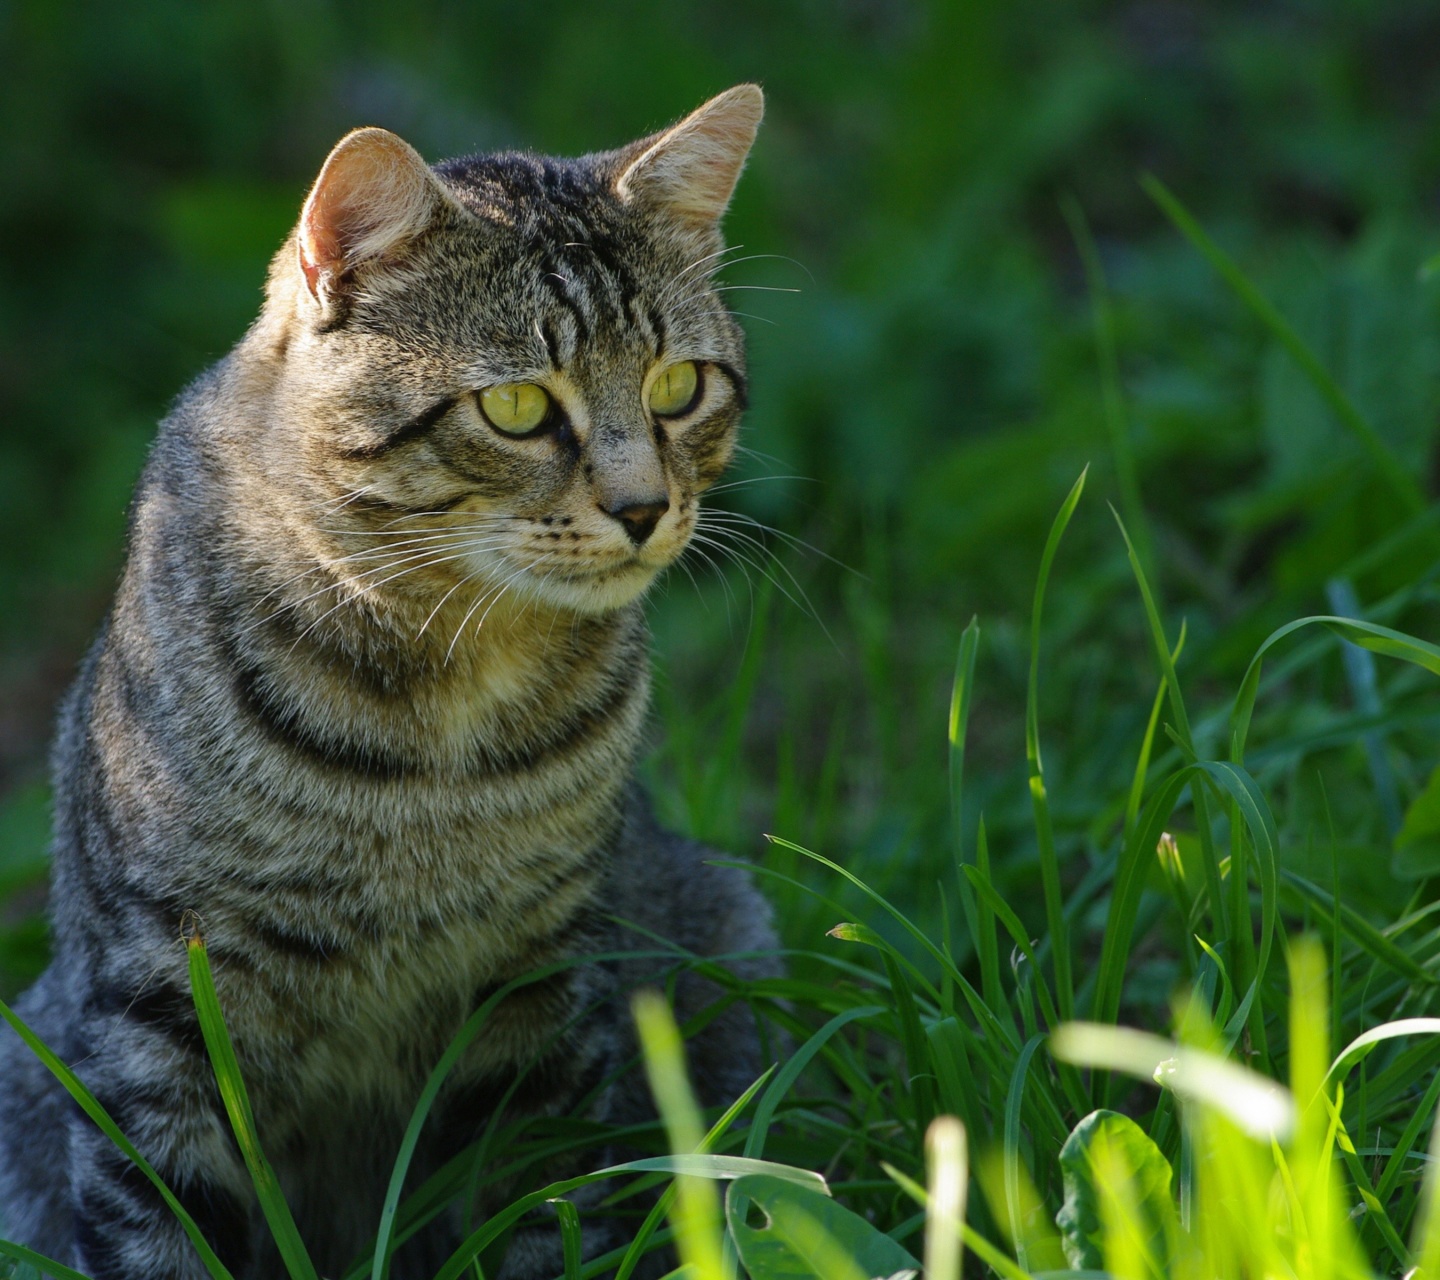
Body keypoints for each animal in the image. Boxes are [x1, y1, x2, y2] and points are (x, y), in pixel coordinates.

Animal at [0, 84, 777, 1272]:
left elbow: (538, 1208)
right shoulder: (157, 1004)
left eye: (680, 387)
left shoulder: (542, 988)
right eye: (516, 408)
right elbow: (157, 1228)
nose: (646, 508)